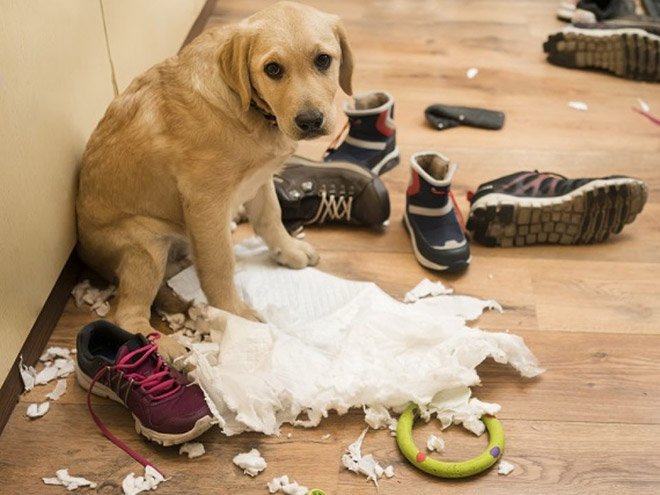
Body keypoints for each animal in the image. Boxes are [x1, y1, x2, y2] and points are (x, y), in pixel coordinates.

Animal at [76, 0, 354, 364]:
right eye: (273, 69)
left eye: (323, 60)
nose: (310, 121)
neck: (247, 107)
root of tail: (85, 253)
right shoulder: (205, 203)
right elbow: (220, 263)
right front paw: (234, 313)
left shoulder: (259, 179)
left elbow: (271, 218)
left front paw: (288, 249)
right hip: (145, 247)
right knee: (126, 314)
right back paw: (164, 347)